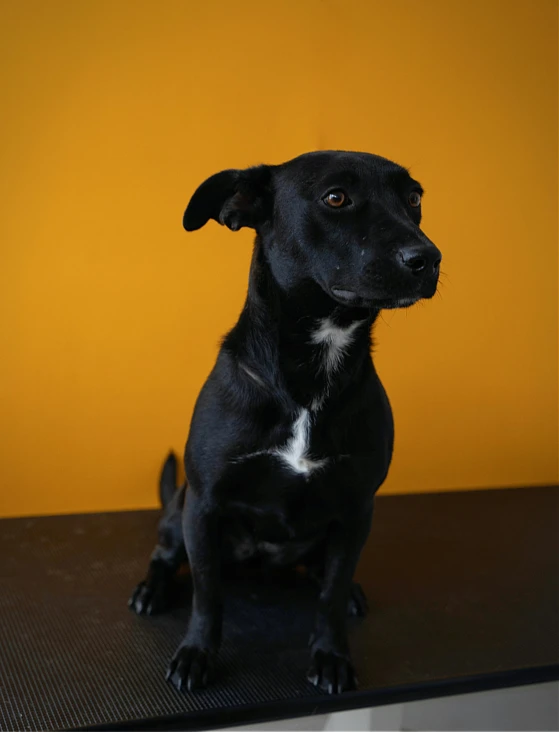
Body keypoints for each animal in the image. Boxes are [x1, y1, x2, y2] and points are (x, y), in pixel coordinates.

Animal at [129, 149, 440, 692]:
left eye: (414, 198)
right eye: (336, 197)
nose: (428, 257)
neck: (310, 381)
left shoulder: (356, 510)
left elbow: (330, 596)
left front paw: (331, 654)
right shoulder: (204, 505)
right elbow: (207, 595)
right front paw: (196, 653)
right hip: (178, 514)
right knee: (166, 556)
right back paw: (152, 589)